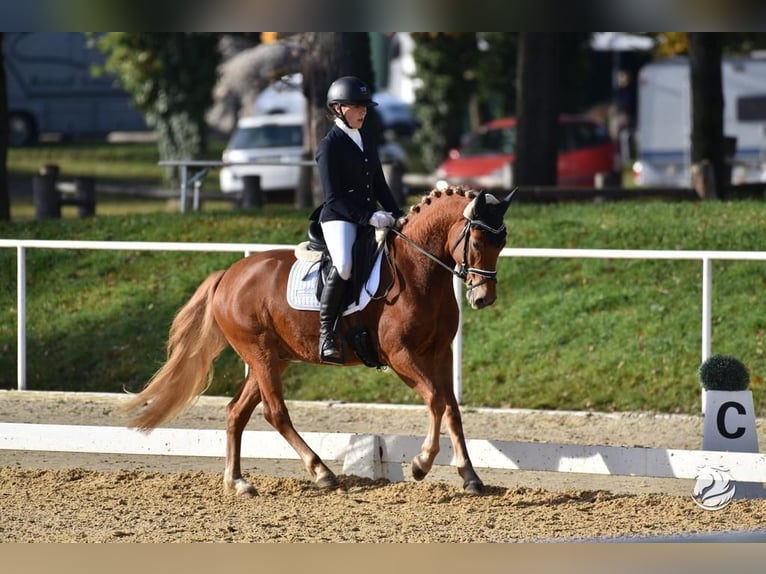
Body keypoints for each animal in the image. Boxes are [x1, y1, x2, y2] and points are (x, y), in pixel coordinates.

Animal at [123, 187, 520, 498]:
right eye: (478, 241)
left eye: (502, 243)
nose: (483, 298)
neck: (418, 270)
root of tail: (228, 275)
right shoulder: (400, 356)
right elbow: (436, 400)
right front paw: (421, 464)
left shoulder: (439, 353)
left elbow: (451, 409)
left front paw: (470, 477)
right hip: (260, 353)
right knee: (275, 412)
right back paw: (321, 472)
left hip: (275, 357)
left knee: (237, 411)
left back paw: (238, 482)